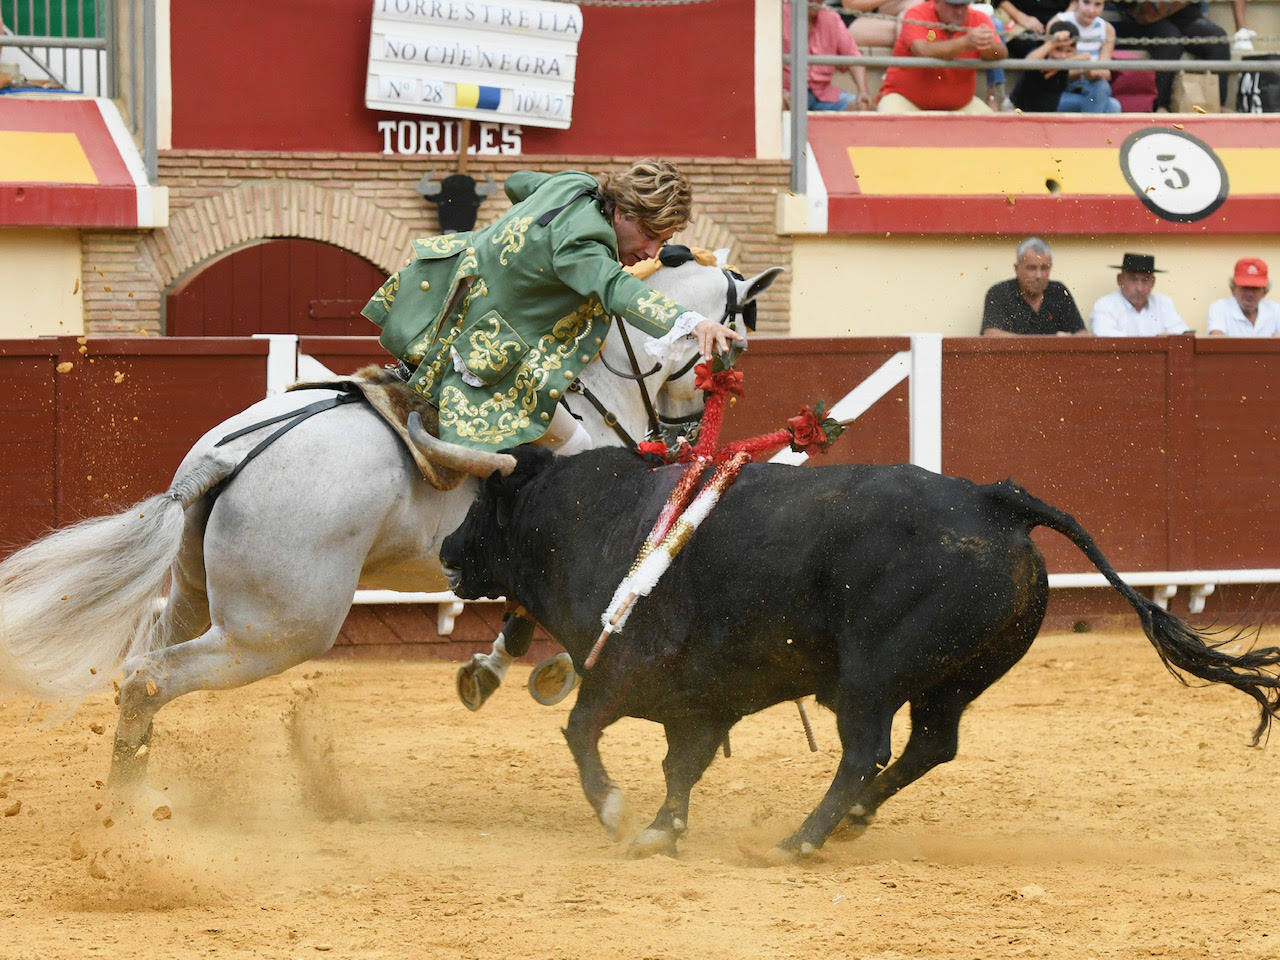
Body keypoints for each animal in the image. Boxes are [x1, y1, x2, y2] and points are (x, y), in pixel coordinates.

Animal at [0, 257, 778, 803]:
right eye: (737, 348)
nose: (681, 436)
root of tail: (220, 459)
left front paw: (497, 669)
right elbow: (568, 617)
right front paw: (536, 671)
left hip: (196, 596)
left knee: (145, 662)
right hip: (276, 630)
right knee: (149, 676)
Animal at [440, 448, 1280, 860]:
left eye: (482, 505)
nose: (446, 550)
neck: (595, 518)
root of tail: (994, 500)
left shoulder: (625, 670)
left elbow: (581, 730)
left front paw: (618, 814)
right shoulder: (705, 698)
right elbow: (682, 765)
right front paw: (661, 830)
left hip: (872, 675)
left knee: (865, 748)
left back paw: (799, 840)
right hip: (956, 677)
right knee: (931, 743)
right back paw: (849, 823)